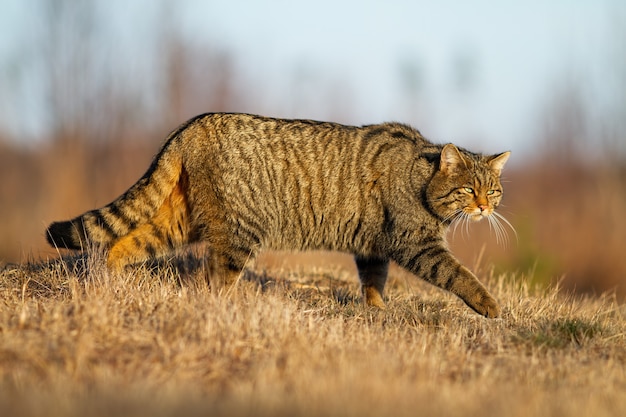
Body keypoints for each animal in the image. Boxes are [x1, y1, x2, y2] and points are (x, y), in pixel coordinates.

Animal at [47, 112, 508, 316]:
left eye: (493, 190)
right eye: (469, 189)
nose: (485, 207)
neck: (421, 176)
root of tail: (192, 124)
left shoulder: (372, 246)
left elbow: (374, 281)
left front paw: (376, 310)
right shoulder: (416, 244)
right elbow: (458, 274)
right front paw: (489, 304)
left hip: (178, 221)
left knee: (123, 242)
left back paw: (107, 281)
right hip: (238, 233)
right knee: (216, 279)